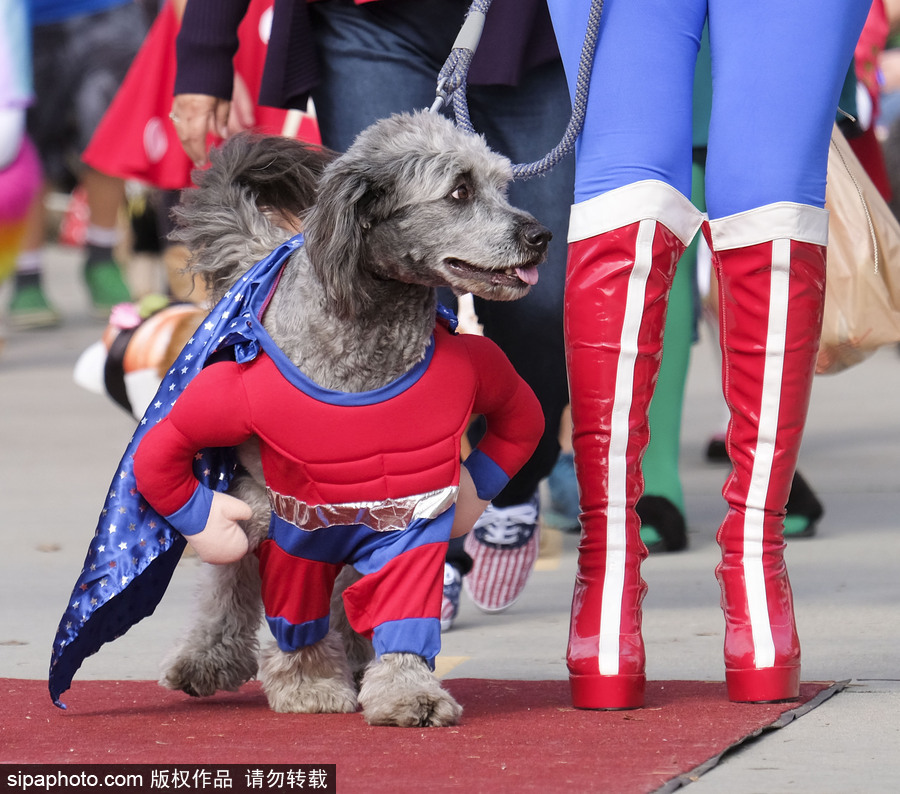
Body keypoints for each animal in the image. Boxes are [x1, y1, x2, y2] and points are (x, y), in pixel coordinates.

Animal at [134, 111, 548, 724]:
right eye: (459, 190)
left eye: (503, 184)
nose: (539, 236)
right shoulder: (296, 518)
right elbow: (289, 607)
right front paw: (308, 685)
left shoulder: (409, 513)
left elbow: (400, 602)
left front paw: (407, 690)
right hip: (250, 497)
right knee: (231, 576)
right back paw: (209, 657)